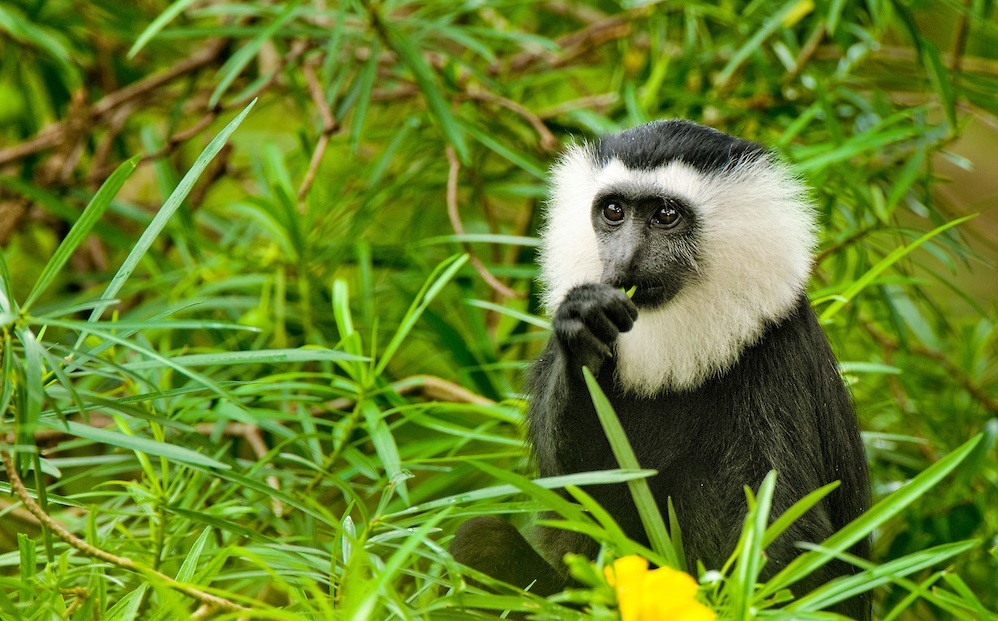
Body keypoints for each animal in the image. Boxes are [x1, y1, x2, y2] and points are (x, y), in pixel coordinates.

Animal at [450, 118, 872, 616]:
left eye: (666, 215)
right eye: (614, 211)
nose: (625, 259)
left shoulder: (775, 356)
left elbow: (785, 530)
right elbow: (580, 486)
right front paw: (585, 328)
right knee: (480, 542)